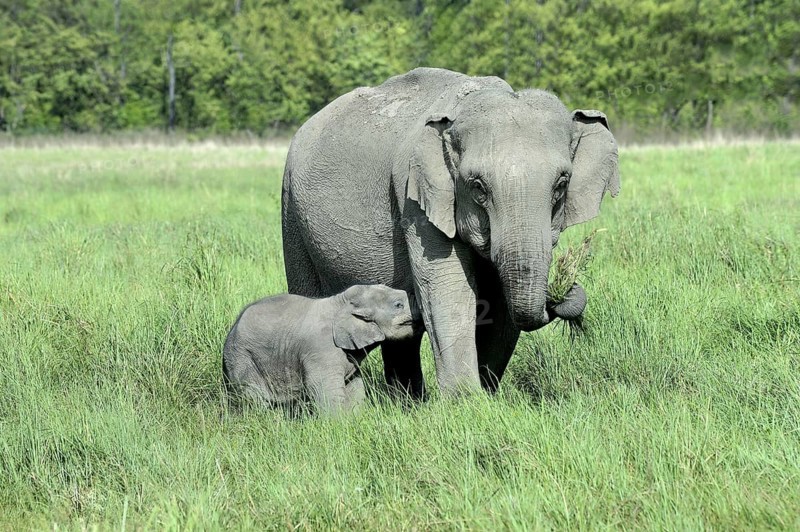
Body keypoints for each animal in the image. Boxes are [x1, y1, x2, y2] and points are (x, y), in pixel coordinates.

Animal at [222, 284, 420, 415]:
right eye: (398, 305)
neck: (341, 302)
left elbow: (354, 385)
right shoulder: (321, 349)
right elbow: (322, 386)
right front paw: (338, 426)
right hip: (242, 359)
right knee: (255, 398)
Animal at [281, 67, 619, 397]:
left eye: (561, 185)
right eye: (478, 187)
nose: (564, 291)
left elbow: (500, 302)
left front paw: (487, 395)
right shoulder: (417, 198)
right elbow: (447, 288)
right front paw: (465, 400)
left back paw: (407, 403)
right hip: (292, 216)